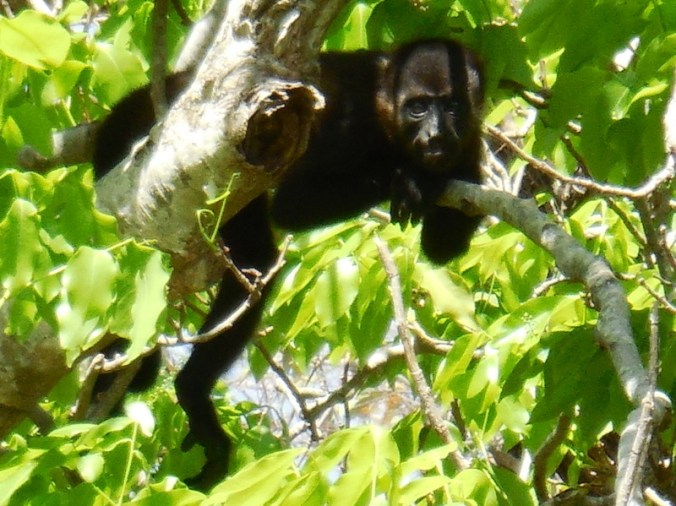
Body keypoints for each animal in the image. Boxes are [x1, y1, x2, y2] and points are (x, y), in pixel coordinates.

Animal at [91, 39, 484, 489]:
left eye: (453, 106)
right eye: (417, 107)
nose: (436, 134)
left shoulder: (471, 140)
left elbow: (441, 247)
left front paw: (438, 181)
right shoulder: (351, 128)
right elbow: (293, 205)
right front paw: (411, 179)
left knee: (255, 260)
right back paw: (191, 390)